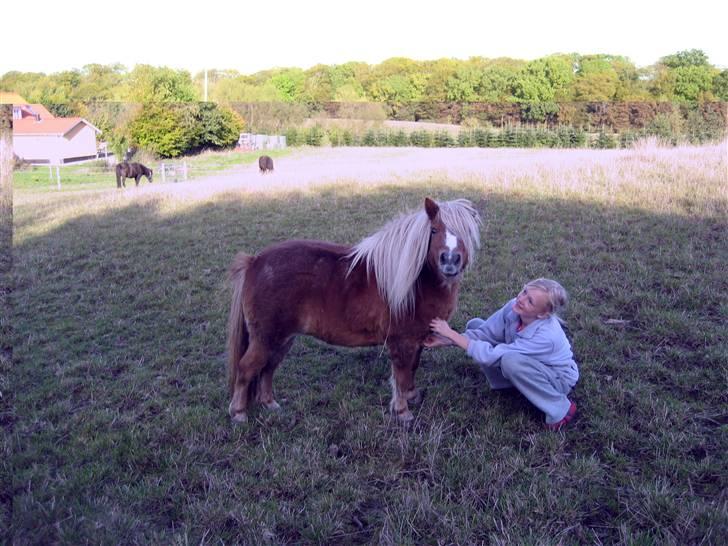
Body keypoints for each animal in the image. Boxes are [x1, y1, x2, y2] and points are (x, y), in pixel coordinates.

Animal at [225, 198, 480, 422]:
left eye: (467, 232)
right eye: (434, 230)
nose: (450, 260)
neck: (414, 284)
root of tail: (255, 262)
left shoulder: (418, 340)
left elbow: (412, 369)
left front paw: (412, 396)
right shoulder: (401, 341)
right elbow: (400, 373)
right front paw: (402, 411)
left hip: (282, 339)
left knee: (268, 368)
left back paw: (270, 404)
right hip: (266, 338)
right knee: (247, 368)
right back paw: (238, 413)